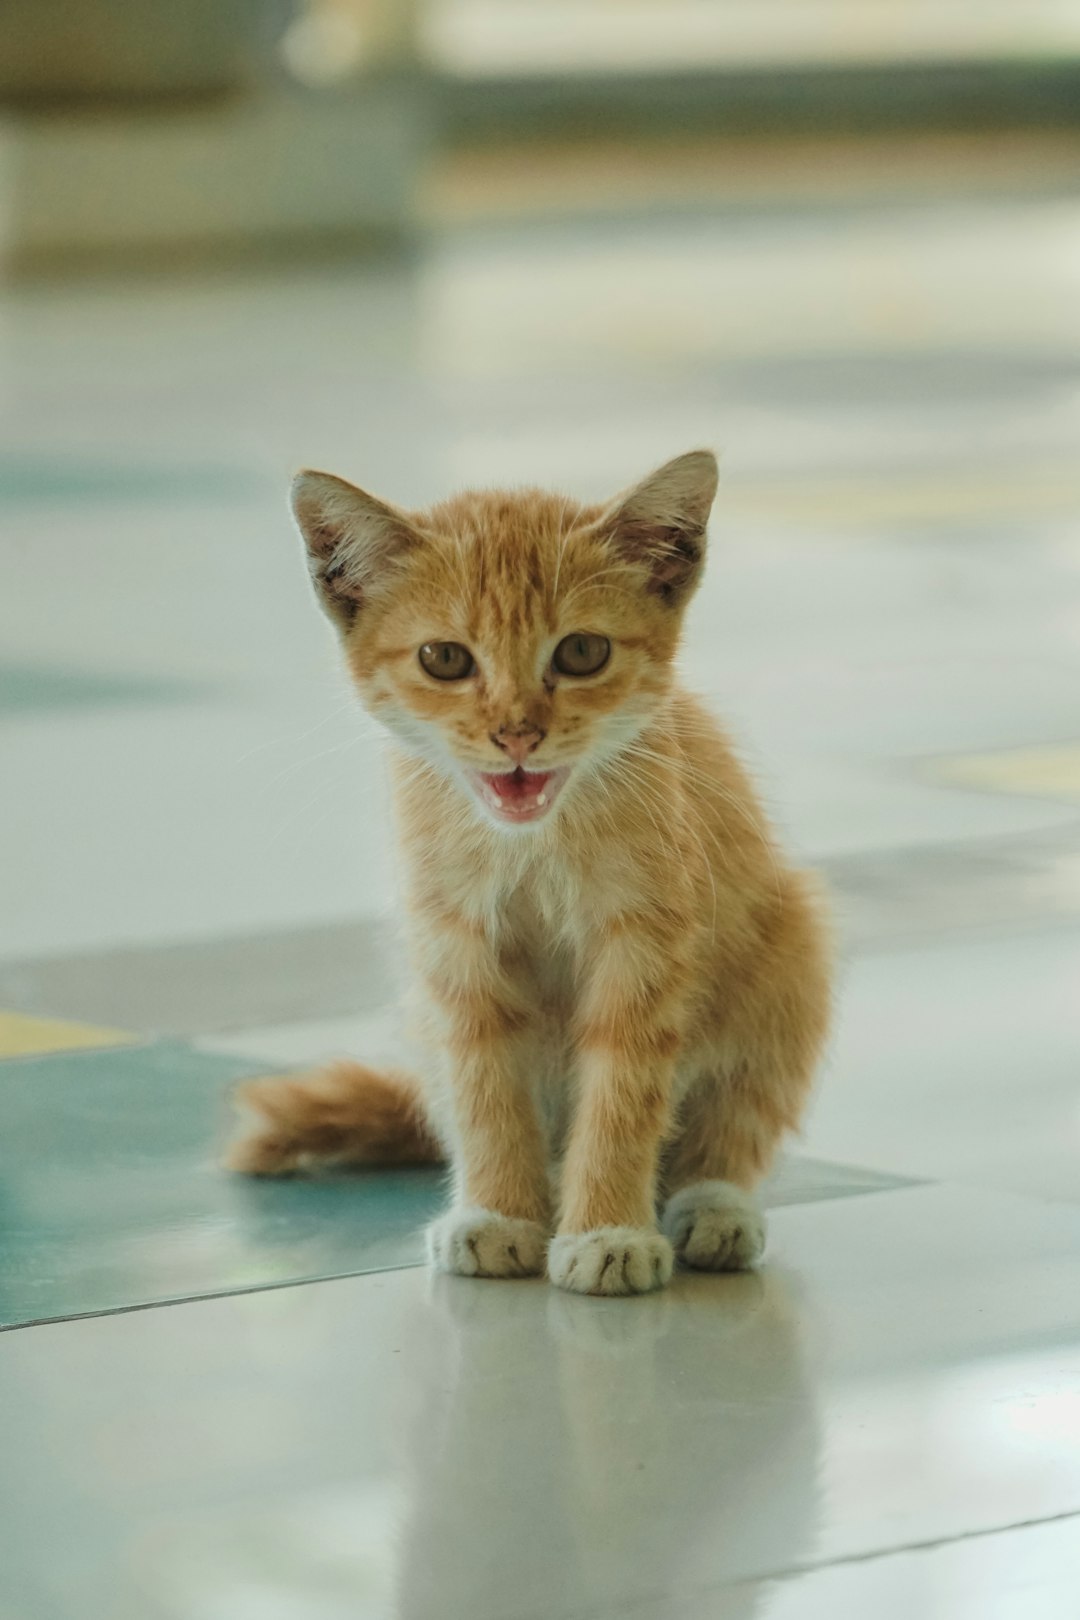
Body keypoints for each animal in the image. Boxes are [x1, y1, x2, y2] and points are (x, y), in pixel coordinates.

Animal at [233, 450, 835, 1296]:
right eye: (444, 659)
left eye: (582, 652)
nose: (516, 732)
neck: (532, 844)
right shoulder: (452, 944)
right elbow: (485, 1089)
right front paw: (500, 1214)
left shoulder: (646, 939)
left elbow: (622, 1093)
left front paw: (607, 1228)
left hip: (790, 954)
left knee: (735, 1121)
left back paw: (714, 1206)